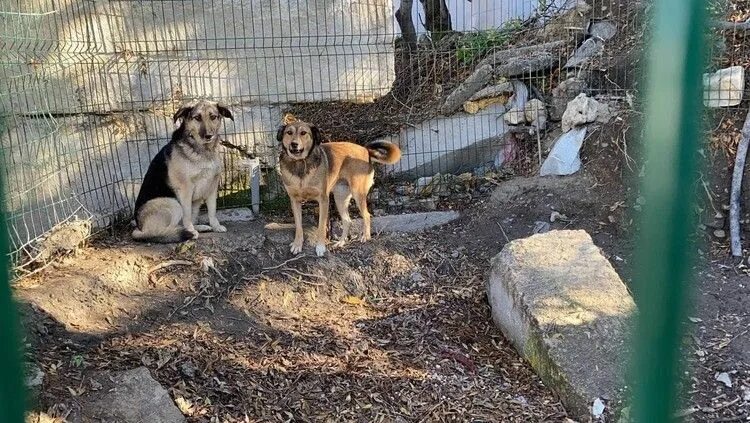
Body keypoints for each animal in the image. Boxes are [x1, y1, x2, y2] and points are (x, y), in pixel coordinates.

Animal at [131, 100, 232, 245]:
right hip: (173, 204)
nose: (208, 135)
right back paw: (185, 232)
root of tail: (139, 228)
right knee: (162, 230)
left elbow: (212, 211)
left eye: (213, 117)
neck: (203, 151)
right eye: (197, 118)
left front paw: (216, 226)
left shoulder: (212, 188)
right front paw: (190, 230)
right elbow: (187, 215)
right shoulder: (185, 190)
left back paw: (199, 227)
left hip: (195, 202)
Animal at [278, 121, 406, 256]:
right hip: (340, 198)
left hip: (357, 193)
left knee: (366, 215)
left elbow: (321, 227)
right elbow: (298, 226)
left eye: (303, 133)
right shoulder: (295, 201)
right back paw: (341, 243)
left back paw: (365, 236)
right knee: (347, 220)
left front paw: (320, 247)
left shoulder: (323, 200)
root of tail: (365, 150)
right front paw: (297, 244)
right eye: (289, 132)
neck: (300, 164)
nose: (294, 144)